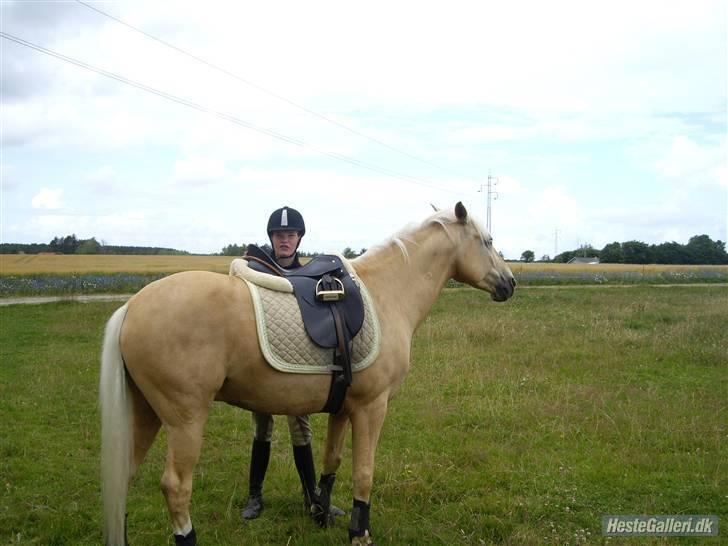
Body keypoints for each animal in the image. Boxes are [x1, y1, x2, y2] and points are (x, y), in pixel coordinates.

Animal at [100, 202, 516, 545]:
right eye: (487, 240)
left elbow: (331, 462)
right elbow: (364, 472)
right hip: (185, 419)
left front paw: (321, 512)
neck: (387, 293)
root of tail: (132, 306)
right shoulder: (372, 408)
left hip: (146, 413)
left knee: (124, 477)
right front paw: (359, 533)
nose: (510, 282)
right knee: (175, 487)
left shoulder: (343, 408)